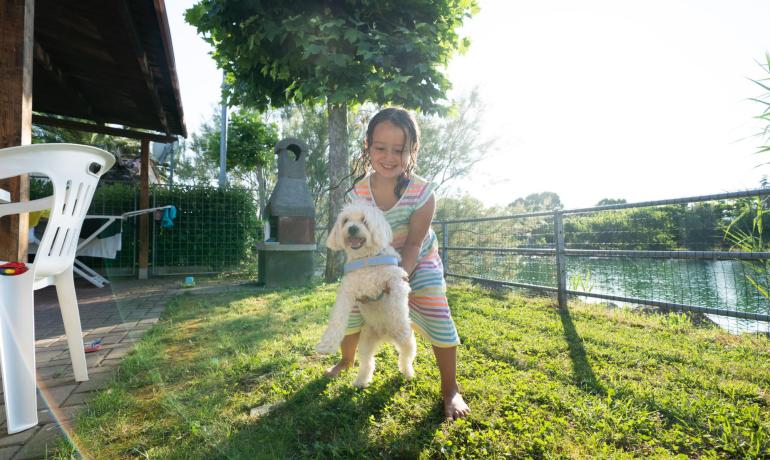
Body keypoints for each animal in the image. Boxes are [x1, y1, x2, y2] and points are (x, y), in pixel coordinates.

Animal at [316, 199, 416, 386]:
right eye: (346, 220)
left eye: (364, 220)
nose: (352, 228)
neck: (366, 260)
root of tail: (385, 335)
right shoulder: (347, 291)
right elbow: (337, 318)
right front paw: (327, 344)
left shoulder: (397, 280)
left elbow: (397, 306)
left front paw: (399, 322)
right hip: (366, 343)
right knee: (367, 363)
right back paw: (361, 381)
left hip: (408, 343)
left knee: (405, 358)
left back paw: (408, 373)